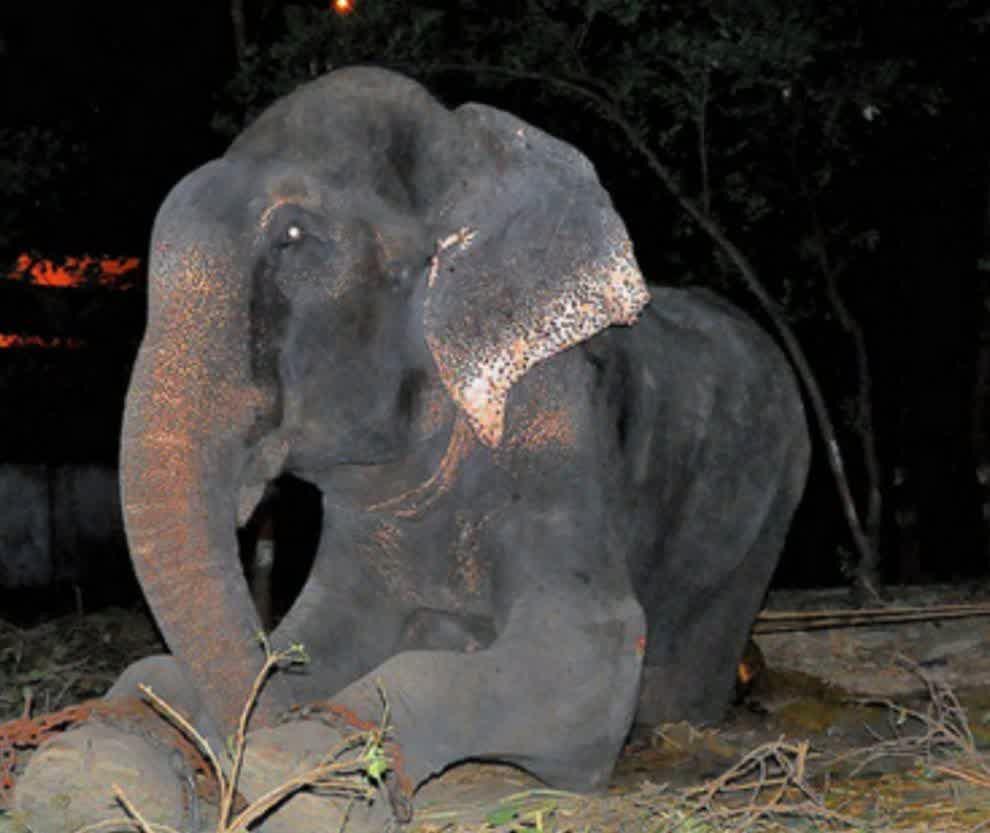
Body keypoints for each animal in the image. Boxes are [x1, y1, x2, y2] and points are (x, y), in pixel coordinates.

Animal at [15, 66, 808, 832]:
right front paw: (88, 769)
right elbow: (316, 633)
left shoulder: (556, 424)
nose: (231, 753)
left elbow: (593, 652)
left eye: (295, 235)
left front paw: (304, 777)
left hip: (773, 504)